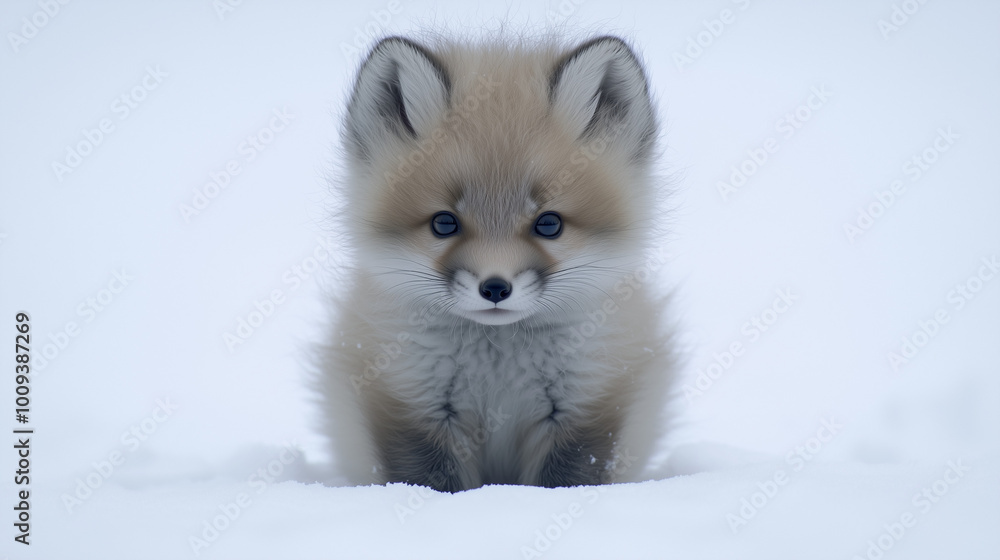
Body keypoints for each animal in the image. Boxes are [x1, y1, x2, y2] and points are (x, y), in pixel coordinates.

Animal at [316, 34, 675, 492]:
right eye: (444, 223)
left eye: (549, 224)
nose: (495, 288)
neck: (498, 368)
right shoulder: (409, 406)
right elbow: (432, 482)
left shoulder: (589, 407)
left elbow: (567, 479)